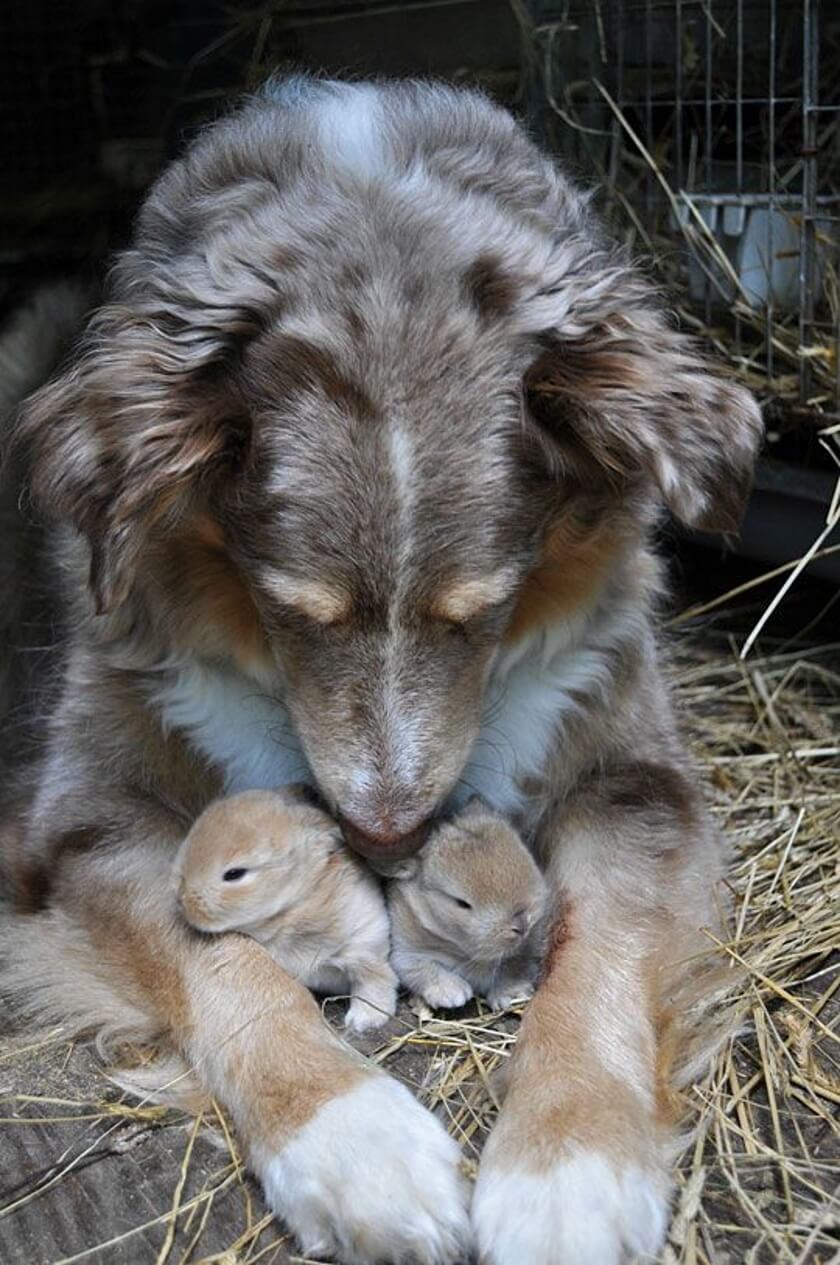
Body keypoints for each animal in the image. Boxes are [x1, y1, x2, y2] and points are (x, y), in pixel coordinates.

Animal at [175, 794, 399, 1032]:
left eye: (234, 874)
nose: (182, 899)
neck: (293, 906)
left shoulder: (364, 947)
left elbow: (374, 982)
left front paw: (363, 1020)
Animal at [389, 799, 549, 1017]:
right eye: (461, 903)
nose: (521, 925)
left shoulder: (525, 951)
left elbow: (514, 966)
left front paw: (512, 994)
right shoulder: (405, 953)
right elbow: (422, 968)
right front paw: (453, 994)